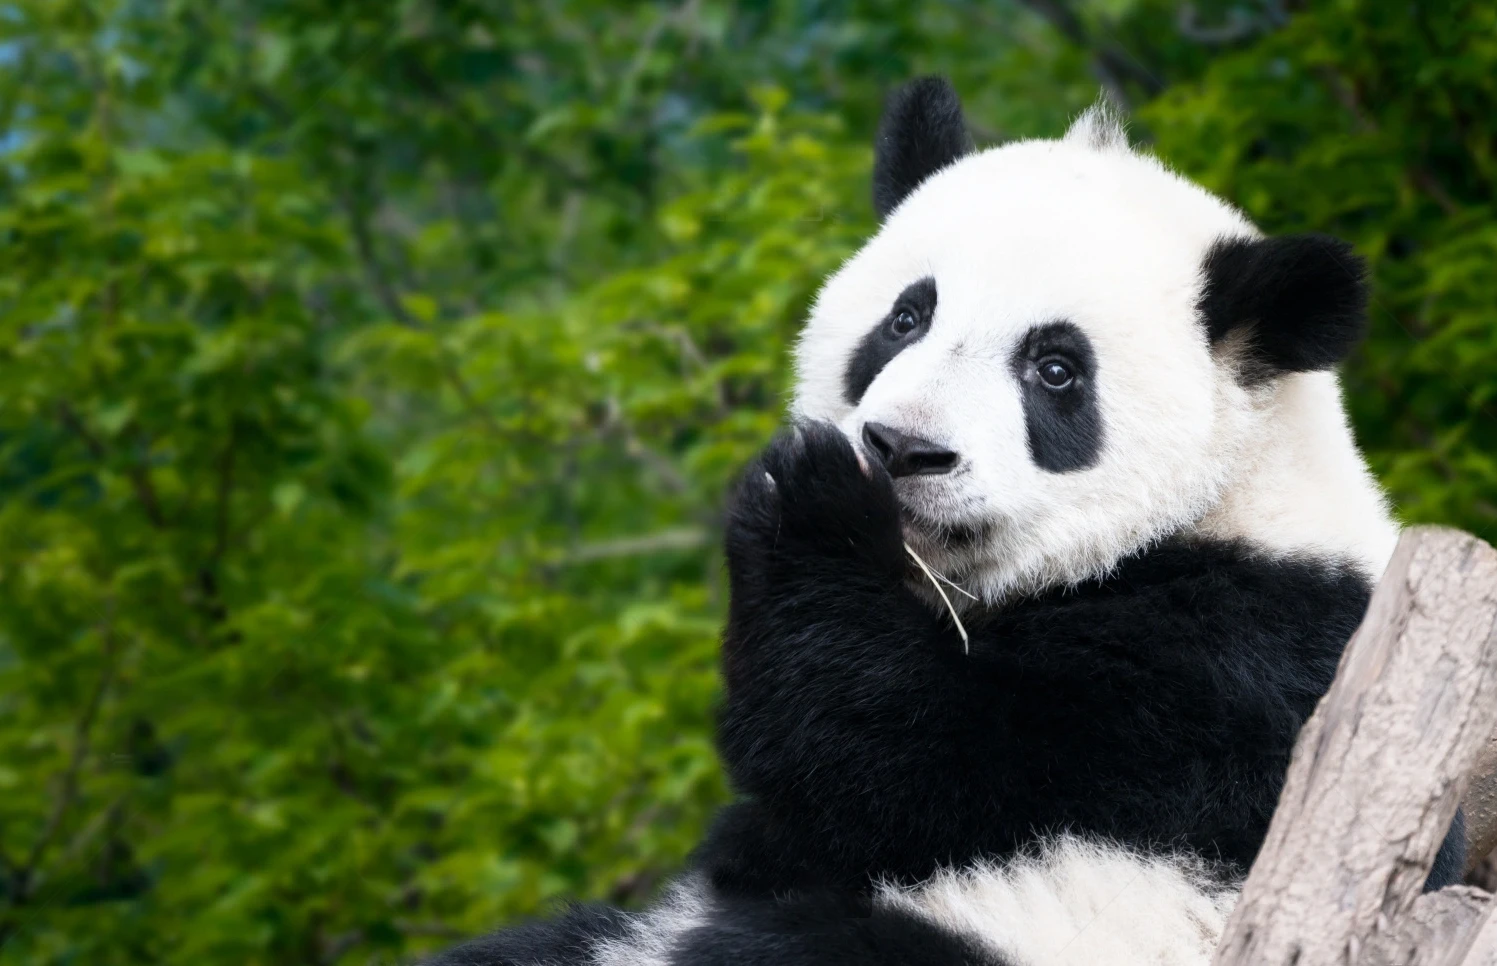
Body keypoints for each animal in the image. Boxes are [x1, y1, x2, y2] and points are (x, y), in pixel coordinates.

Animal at [429, 78, 1466, 966]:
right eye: (906, 317)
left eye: (1055, 369)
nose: (900, 449)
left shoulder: (1231, 666)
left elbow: (906, 764)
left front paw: (812, 503)